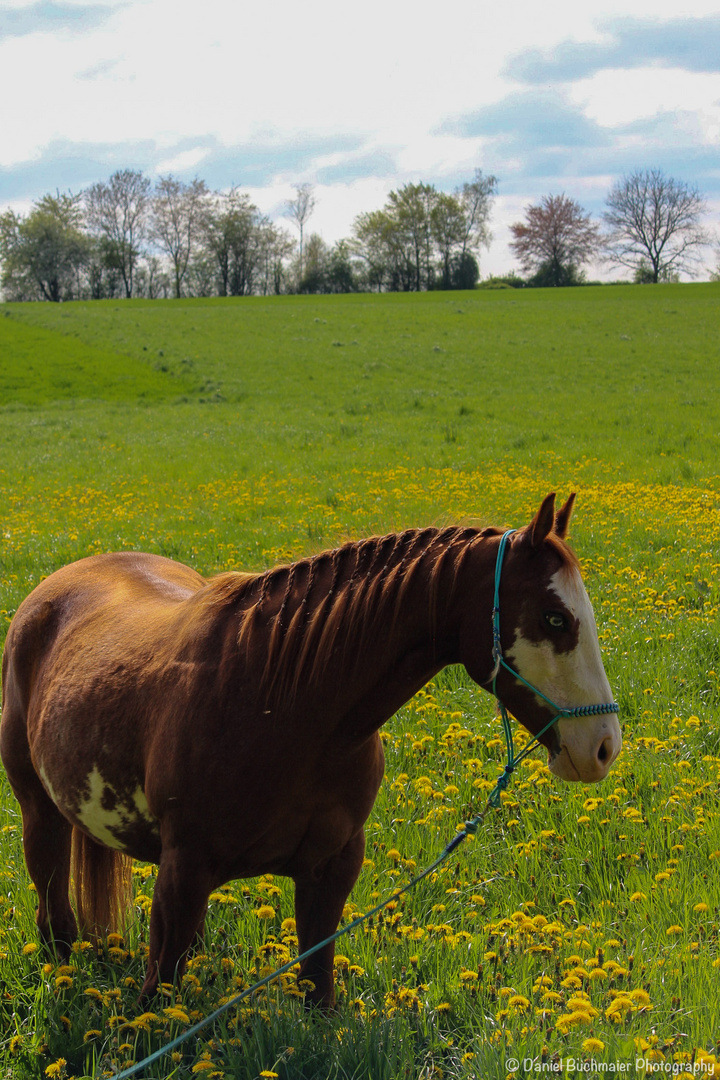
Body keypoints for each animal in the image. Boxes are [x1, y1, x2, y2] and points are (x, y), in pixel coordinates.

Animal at [0, 494, 621, 1006]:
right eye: (555, 617)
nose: (603, 747)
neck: (281, 704)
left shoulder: (332, 869)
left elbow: (318, 990)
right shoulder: (182, 871)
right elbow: (160, 996)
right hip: (41, 815)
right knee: (53, 911)